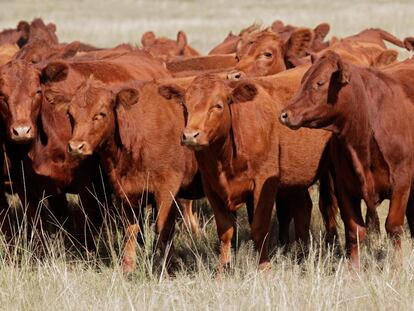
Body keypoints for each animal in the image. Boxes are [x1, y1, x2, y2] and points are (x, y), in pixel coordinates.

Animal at [66, 77, 204, 274]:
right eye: (70, 114)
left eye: (101, 113)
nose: (76, 146)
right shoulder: (125, 192)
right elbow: (130, 230)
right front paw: (128, 267)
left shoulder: (167, 188)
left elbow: (164, 228)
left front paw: (169, 268)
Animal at [159, 74, 336, 272]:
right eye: (185, 106)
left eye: (218, 105)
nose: (190, 136)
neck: (224, 157)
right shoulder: (211, 187)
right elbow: (225, 230)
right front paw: (222, 269)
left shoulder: (264, 182)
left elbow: (259, 227)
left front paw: (264, 268)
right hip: (296, 180)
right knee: (303, 208)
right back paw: (301, 254)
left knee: (327, 208)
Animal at [278, 50, 414, 268]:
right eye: (303, 80)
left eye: (320, 83)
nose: (284, 114)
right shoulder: (344, 188)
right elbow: (354, 231)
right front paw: (353, 269)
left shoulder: (401, 183)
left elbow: (393, 227)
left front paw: (396, 266)